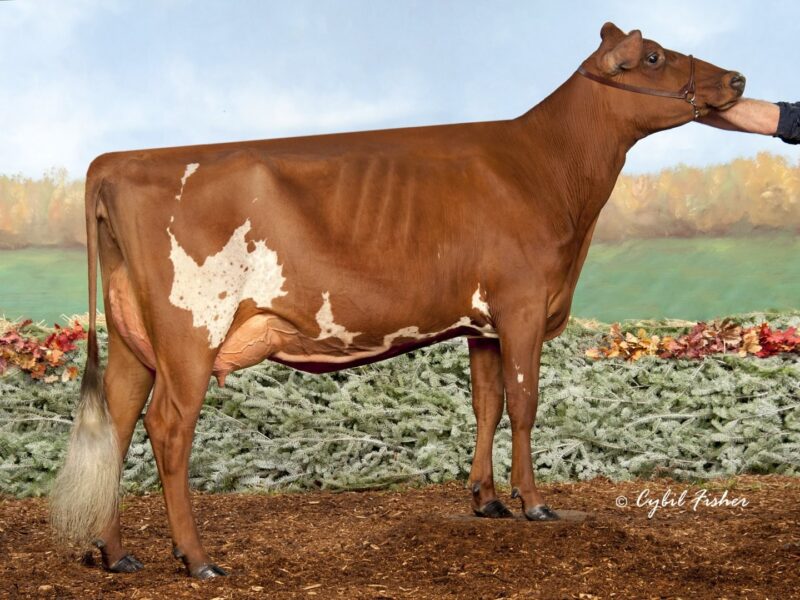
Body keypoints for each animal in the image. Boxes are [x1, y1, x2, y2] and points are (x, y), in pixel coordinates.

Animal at [50, 22, 745, 579]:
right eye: (653, 57)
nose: (737, 77)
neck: (546, 169)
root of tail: (117, 161)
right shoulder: (522, 304)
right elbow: (524, 405)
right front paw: (534, 502)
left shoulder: (484, 323)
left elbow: (487, 405)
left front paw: (486, 500)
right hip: (191, 329)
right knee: (168, 427)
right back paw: (196, 559)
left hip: (135, 337)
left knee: (115, 422)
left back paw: (116, 553)